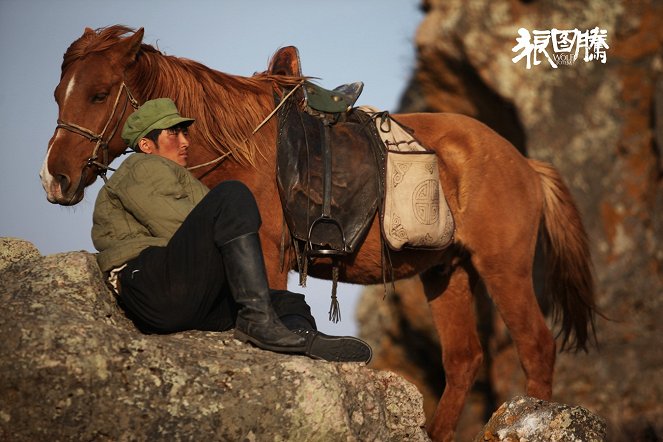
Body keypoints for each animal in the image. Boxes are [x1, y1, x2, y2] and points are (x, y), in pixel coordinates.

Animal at [41, 25, 596, 440]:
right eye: (58, 94)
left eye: (98, 93)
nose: (55, 179)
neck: (241, 146)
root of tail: (523, 163)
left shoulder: (268, 256)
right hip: (447, 271)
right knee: (463, 359)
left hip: (503, 269)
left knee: (536, 346)